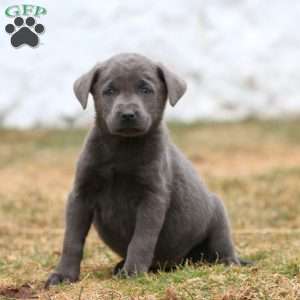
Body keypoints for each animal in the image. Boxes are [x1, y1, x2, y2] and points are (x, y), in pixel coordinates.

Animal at [45, 52, 245, 288]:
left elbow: (141, 239)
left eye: (146, 90)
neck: (122, 148)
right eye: (109, 91)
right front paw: (63, 275)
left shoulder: (152, 198)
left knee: (222, 246)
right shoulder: (80, 194)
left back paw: (229, 262)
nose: (128, 114)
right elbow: (72, 240)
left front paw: (132, 271)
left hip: (218, 212)